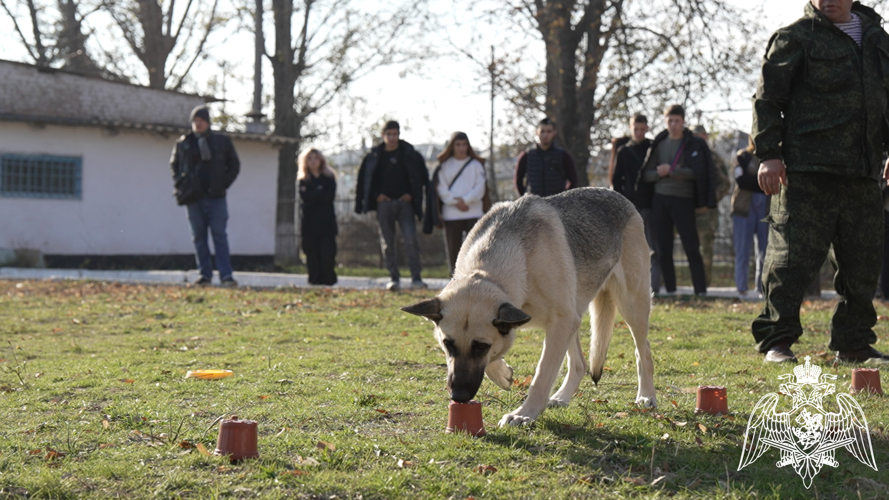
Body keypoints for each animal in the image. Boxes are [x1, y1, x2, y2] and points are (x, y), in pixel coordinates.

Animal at [400, 188, 652, 426]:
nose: (459, 397)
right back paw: (562, 397)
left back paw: (647, 396)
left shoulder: (560, 322)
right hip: (574, 316)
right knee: (580, 364)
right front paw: (503, 375)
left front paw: (524, 414)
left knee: (643, 352)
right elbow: (498, 356)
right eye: (447, 344)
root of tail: (615, 194)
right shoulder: (553, 321)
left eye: (480, 347)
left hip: (630, 306)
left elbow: (541, 376)